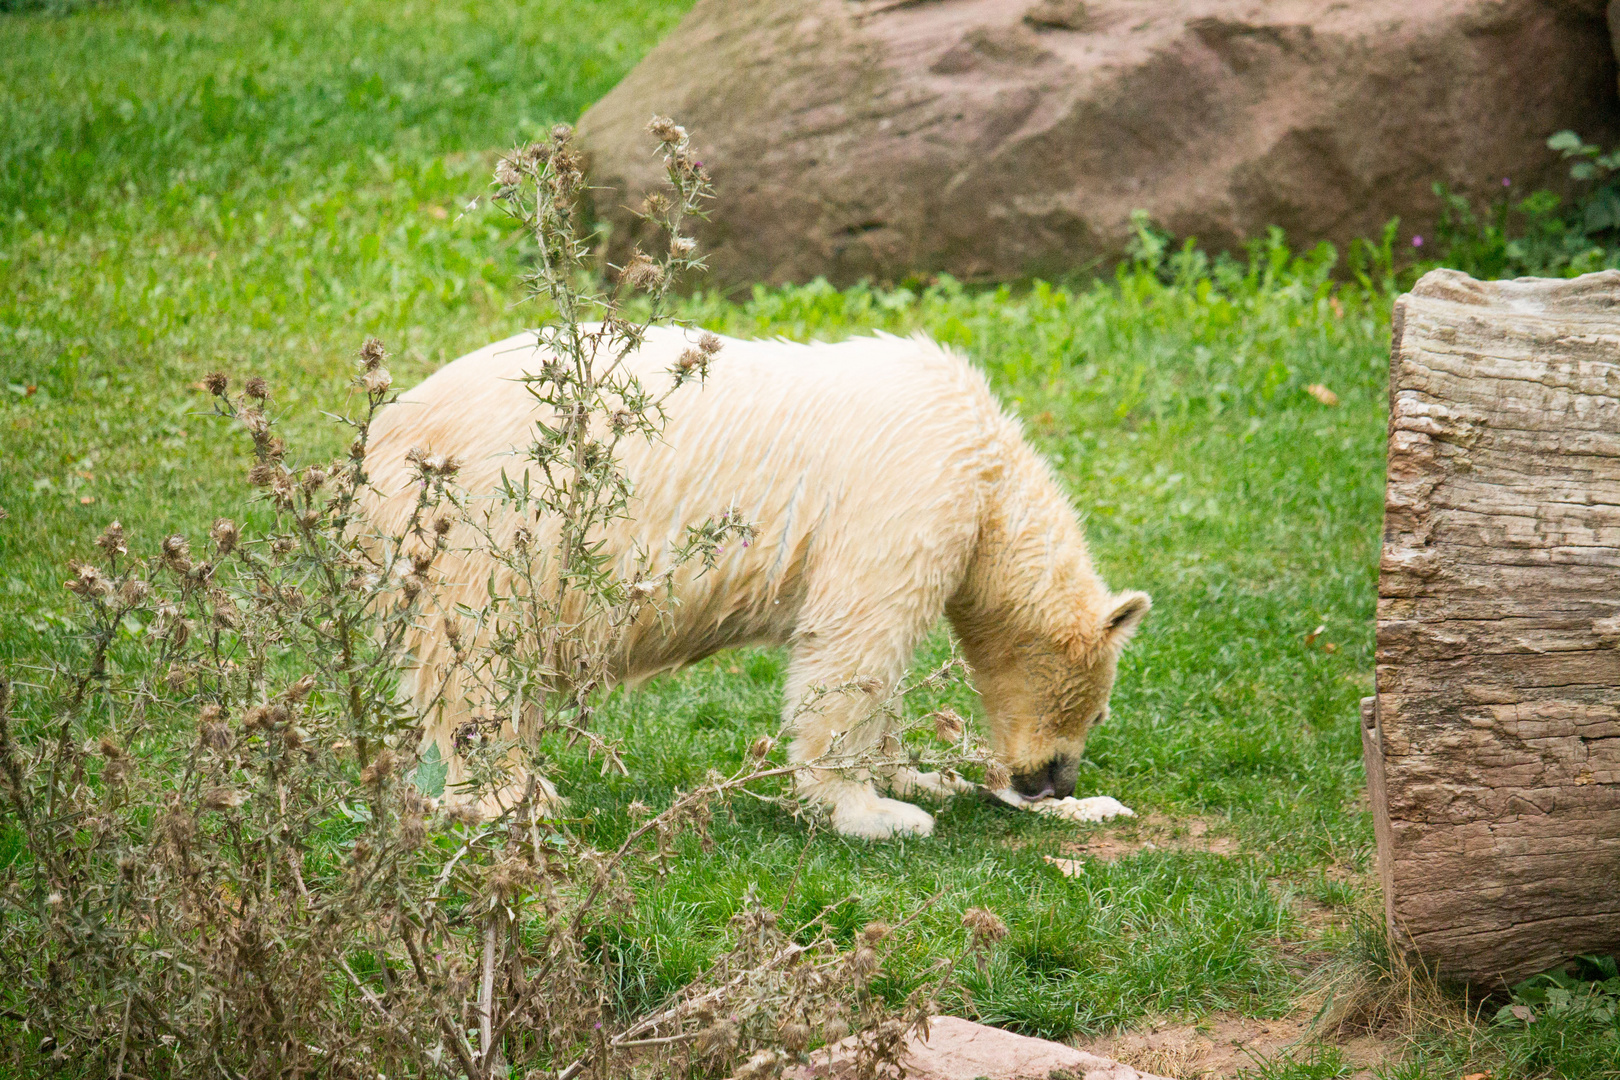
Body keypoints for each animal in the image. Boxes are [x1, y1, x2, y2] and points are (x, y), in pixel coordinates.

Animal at [364, 325, 1153, 841]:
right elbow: (854, 648)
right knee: (484, 659)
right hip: (500, 516)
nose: (1053, 783)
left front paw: (921, 777)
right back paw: (511, 793)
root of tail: (380, 438)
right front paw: (878, 814)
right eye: (1097, 712)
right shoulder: (910, 491)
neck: (989, 473)